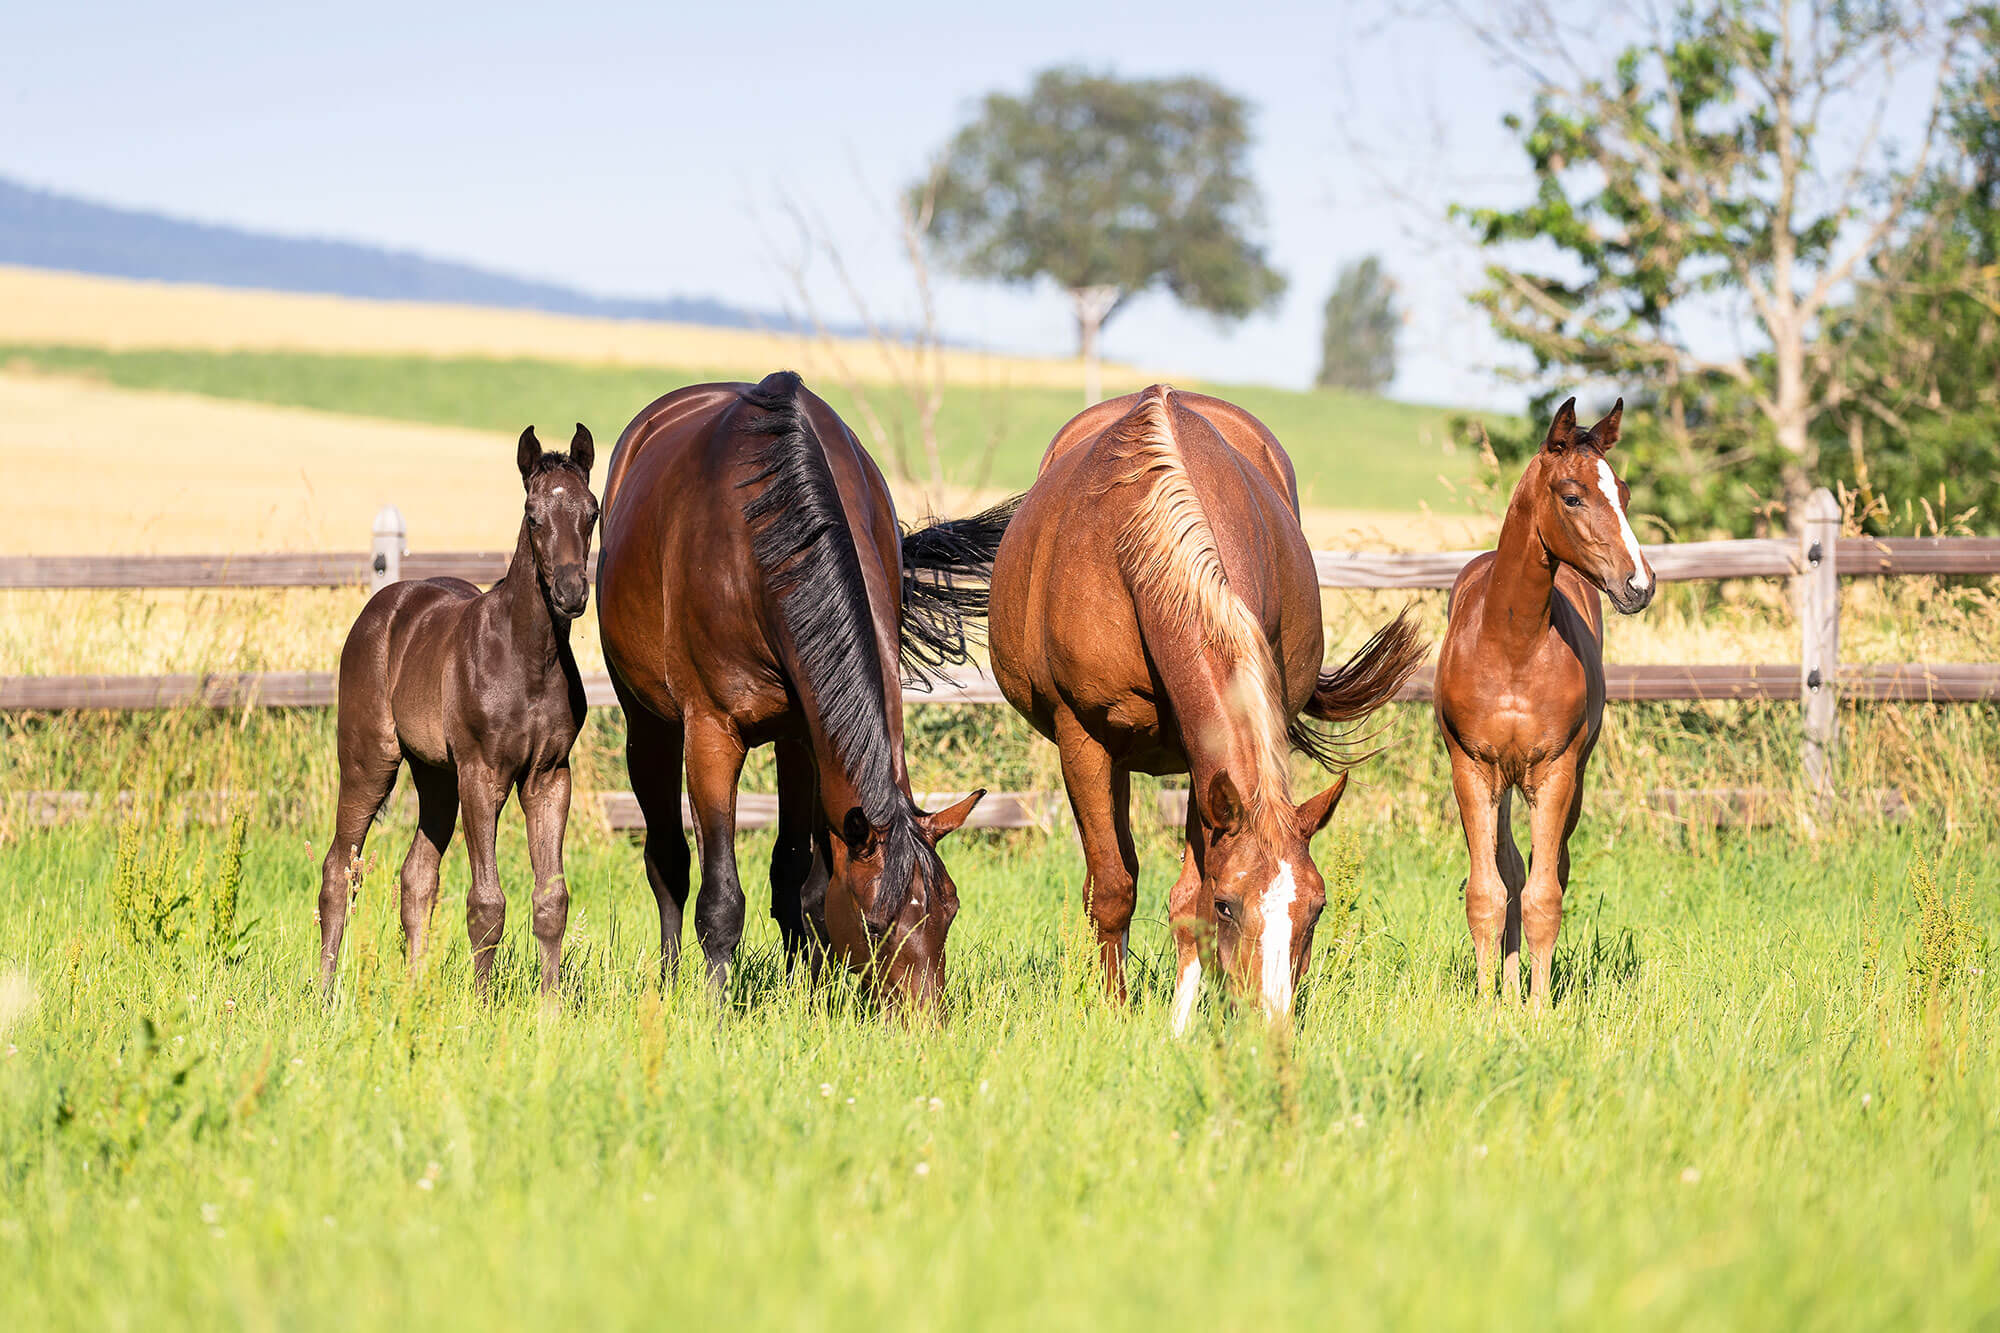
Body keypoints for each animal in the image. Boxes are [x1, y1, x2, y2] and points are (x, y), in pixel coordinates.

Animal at [318, 423, 599, 998]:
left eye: (593, 510)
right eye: (533, 514)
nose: (570, 592)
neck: (529, 658)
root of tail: (382, 605)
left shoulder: (549, 777)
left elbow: (552, 900)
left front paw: (550, 1007)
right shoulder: (482, 774)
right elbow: (486, 901)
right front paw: (482, 1006)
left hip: (436, 776)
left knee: (416, 875)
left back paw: (413, 991)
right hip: (369, 762)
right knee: (339, 869)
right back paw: (326, 992)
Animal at [595, 371, 1009, 1012]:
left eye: (950, 912)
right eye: (876, 925)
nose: (925, 1023)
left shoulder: (806, 738)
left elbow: (802, 881)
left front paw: (812, 998)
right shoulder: (712, 735)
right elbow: (721, 899)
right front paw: (716, 1012)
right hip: (649, 728)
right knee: (668, 861)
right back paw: (667, 981)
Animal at [988, 385, 1427, 1030]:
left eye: (1317, 908)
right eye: (1229, 906)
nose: (1270, 1020)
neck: (1137, 546)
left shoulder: (1207, 762)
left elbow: (1184, 896)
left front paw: (1183, 1023)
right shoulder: (1083, 739)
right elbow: (1116, 890)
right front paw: (1116, 1013)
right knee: (1111, 873)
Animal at [1433, 397, 1654, 1006]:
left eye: (1624, 493)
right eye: (1573, 495)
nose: (1640, 585)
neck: (1512, 645)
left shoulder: (1555, 770)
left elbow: (1544, 895)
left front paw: (1536, 1010)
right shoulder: (1472, 768)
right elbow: (1487, 891)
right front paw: (1490, 1005)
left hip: (1566, 776)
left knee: (1550, 867)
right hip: (1505, 781)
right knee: (1509, 867)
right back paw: (1506, 988)